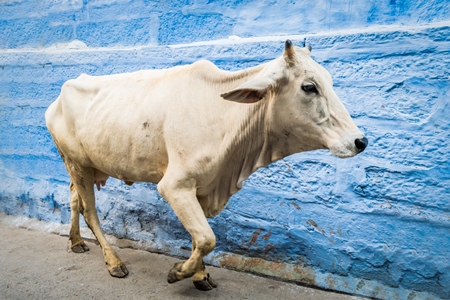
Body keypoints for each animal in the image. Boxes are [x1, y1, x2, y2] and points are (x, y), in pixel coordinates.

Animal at [45, 39, 368, 290]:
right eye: (309, 87)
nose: (359, 141)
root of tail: (57, 99)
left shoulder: (203, 188)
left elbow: (197, 238)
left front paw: (200, 276)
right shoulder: (175, 186)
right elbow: (207, 238)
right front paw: (178, 272)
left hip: (81, 167)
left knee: (73, 200)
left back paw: (76, 242)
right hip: (77, 164)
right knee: (89, 211)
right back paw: (113, 261)